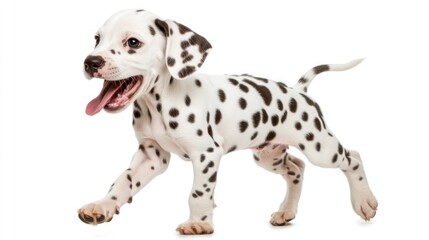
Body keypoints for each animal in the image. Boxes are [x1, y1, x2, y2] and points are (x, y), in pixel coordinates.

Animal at [78, 8, 376, 234]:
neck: (158, 104)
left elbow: (198, 192)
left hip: (320, 149)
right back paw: (286, 211)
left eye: (133, 43)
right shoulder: (152, 156)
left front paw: (198, 223)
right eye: (97, 39)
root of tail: (298, 91)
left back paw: (365, 201)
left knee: (353, 157)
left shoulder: (206, 153)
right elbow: (123, 181)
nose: (90, 62)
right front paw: (102, 206)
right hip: (268, 156)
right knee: (297, 169)